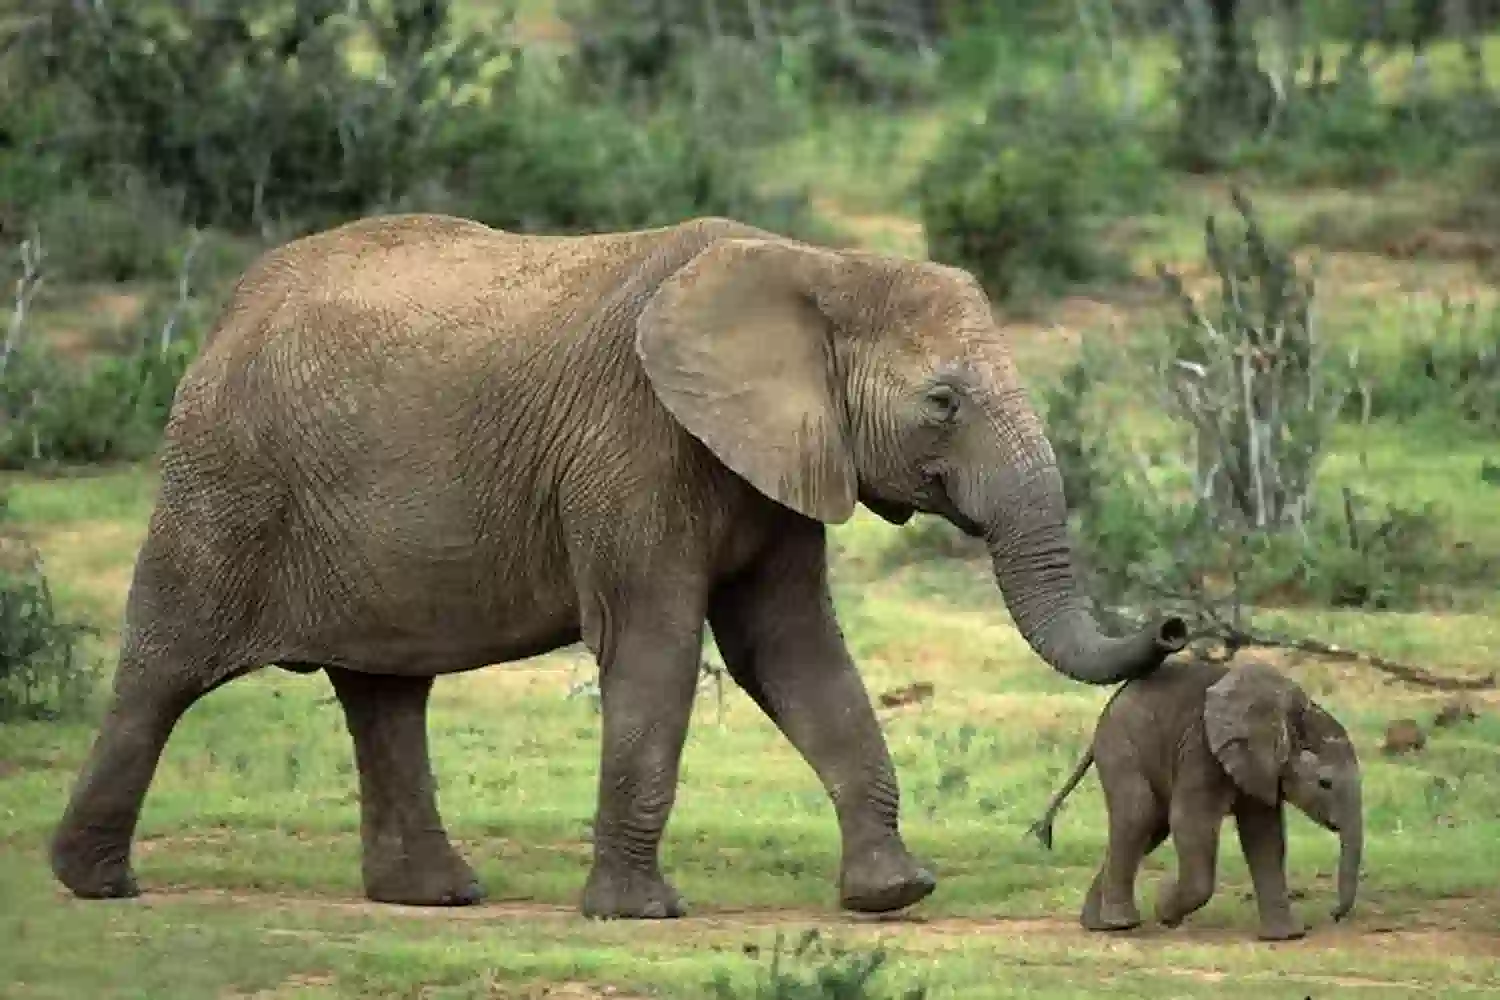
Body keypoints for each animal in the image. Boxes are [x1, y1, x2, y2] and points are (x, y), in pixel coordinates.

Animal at [50, 213, 1188, 920]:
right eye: (943, 402)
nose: (1178, 626)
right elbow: (657, 646)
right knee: (166, 666)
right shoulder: (633, 444)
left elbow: (794, 652)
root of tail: (223, 314)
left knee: (385, 692)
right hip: (226, 475)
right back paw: (95, 884)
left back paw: (436, 895)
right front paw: (640, 913)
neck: (814, 264)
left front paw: (895, 893)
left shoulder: (771, 456)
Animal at [1027, 657, 1363, 941]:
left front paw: (1286, 938)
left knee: (1151, 828)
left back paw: (1097, 925)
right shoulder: (1201, 749)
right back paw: (1121, 924)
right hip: (1121, 745)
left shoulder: (1257, 766)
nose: (1333, 914)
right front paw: (1164, 913)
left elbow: (1264, 836)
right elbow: (1191, 822)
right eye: (1325, 783)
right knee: (1138, 815)